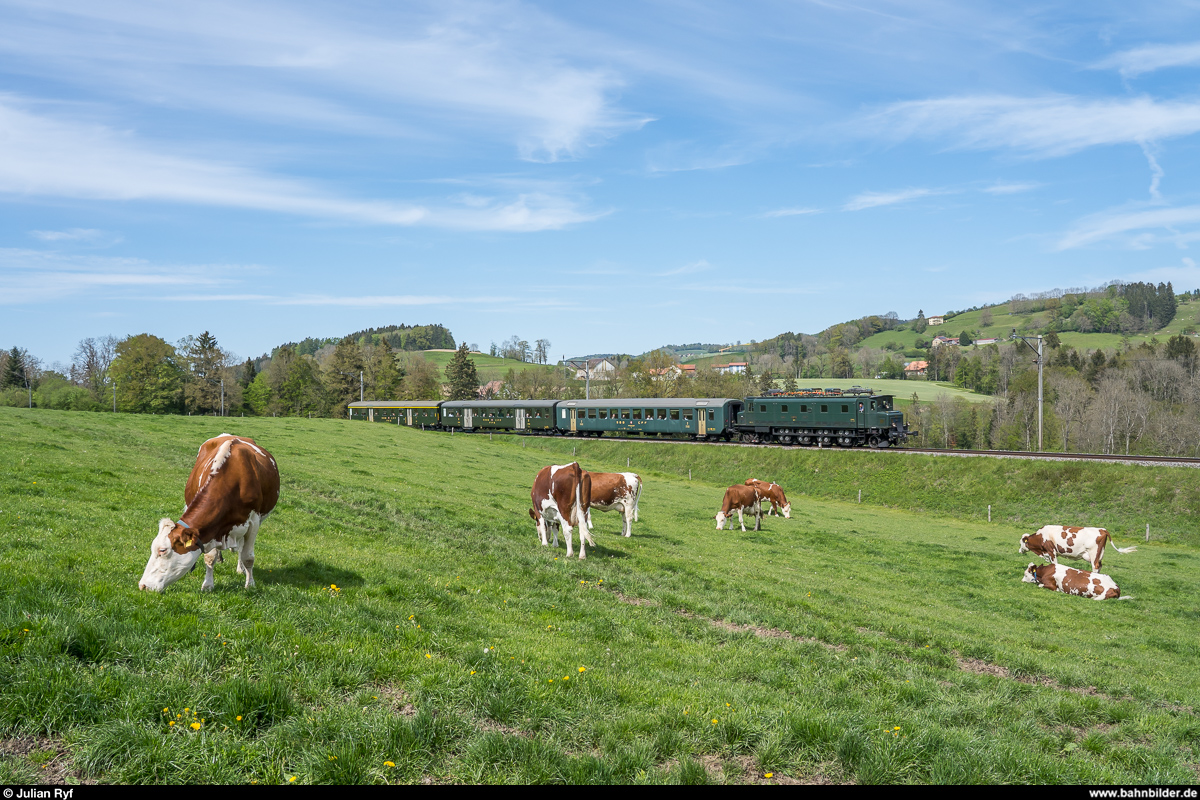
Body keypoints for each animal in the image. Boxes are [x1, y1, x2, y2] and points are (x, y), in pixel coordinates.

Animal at [139, 431, 279, 594]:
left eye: (162, 550)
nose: (142, 585)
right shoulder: (210, 532)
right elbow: (209, 557)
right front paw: (208, 585)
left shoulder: (254, 521)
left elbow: (248, 556)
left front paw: (250, 584)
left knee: (242, 547)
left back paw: (241, 569)